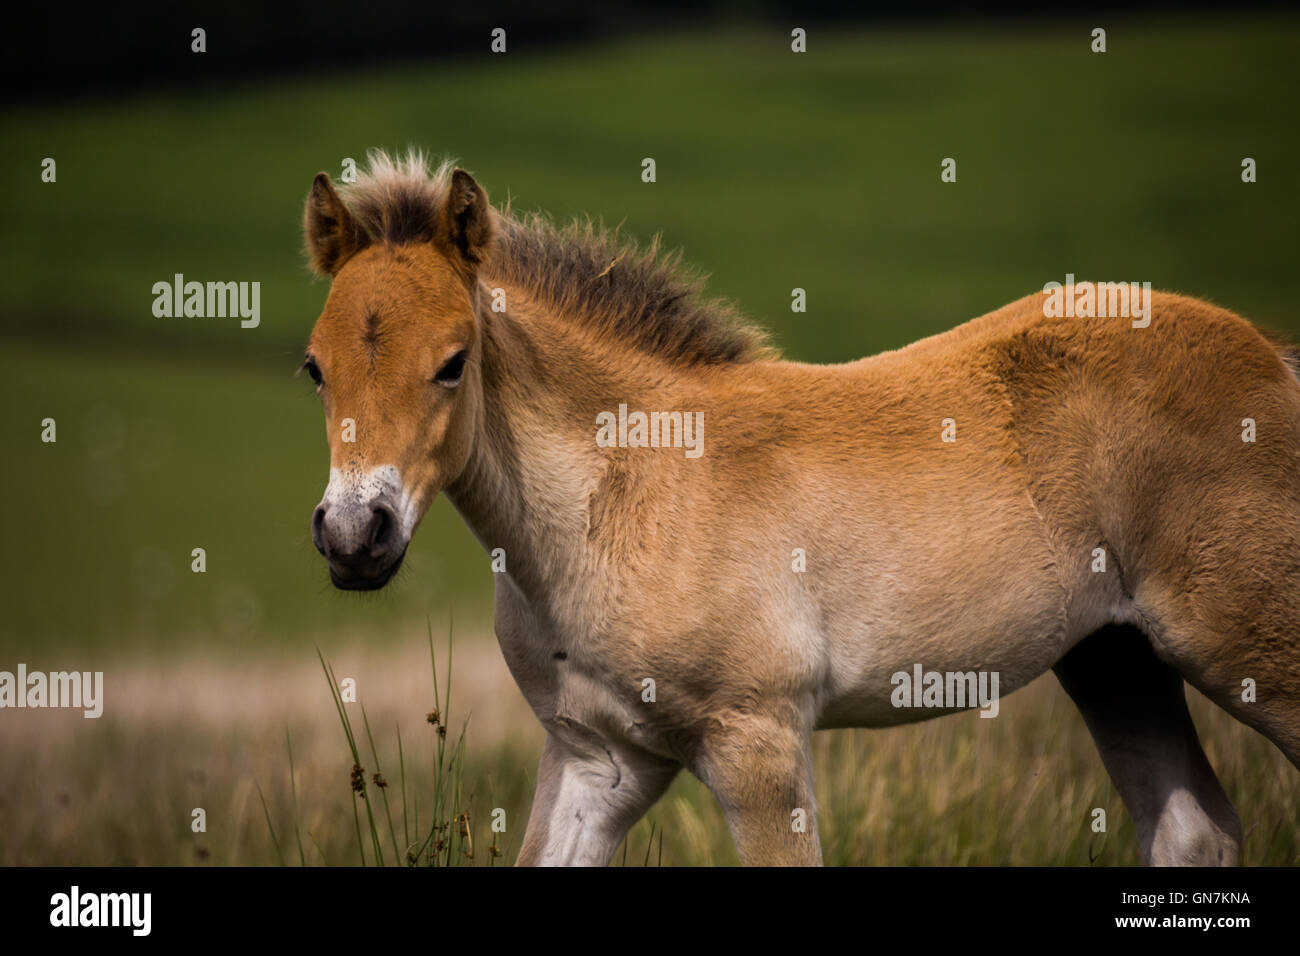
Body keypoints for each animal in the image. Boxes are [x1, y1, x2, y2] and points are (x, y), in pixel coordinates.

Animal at [301, 149, 1300, 868]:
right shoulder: (598, 759)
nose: (354, 536)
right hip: (1115, 658)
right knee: (1193, 832)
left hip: (1246, 647)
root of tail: (1270, 360)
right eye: (314, 367)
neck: (624, 496)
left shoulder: (759, 743)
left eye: (454, 361)